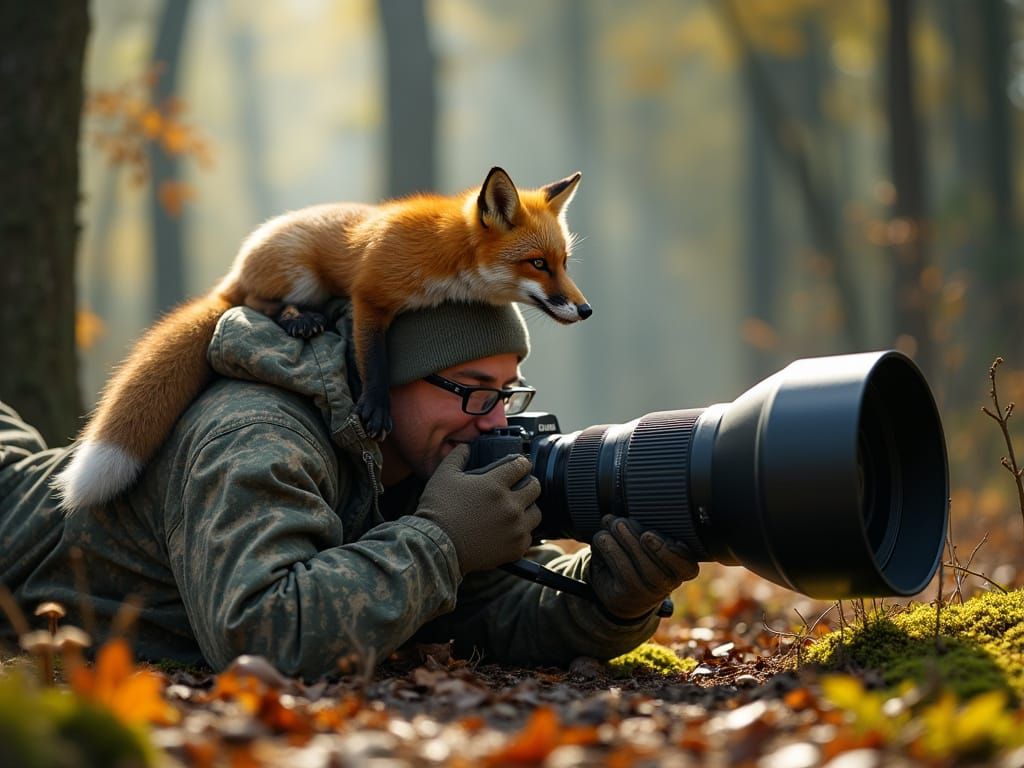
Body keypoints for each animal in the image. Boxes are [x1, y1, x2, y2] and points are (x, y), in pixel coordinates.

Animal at [54, 167, 591, 512]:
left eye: (564, 263)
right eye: (537, 264)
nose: (586, 309)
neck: (445, 254)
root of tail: (241, 260)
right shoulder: (370, 293)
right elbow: (373, 358)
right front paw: (375, 407)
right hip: (299, 274)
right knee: (257, 302)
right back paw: (298, 320)